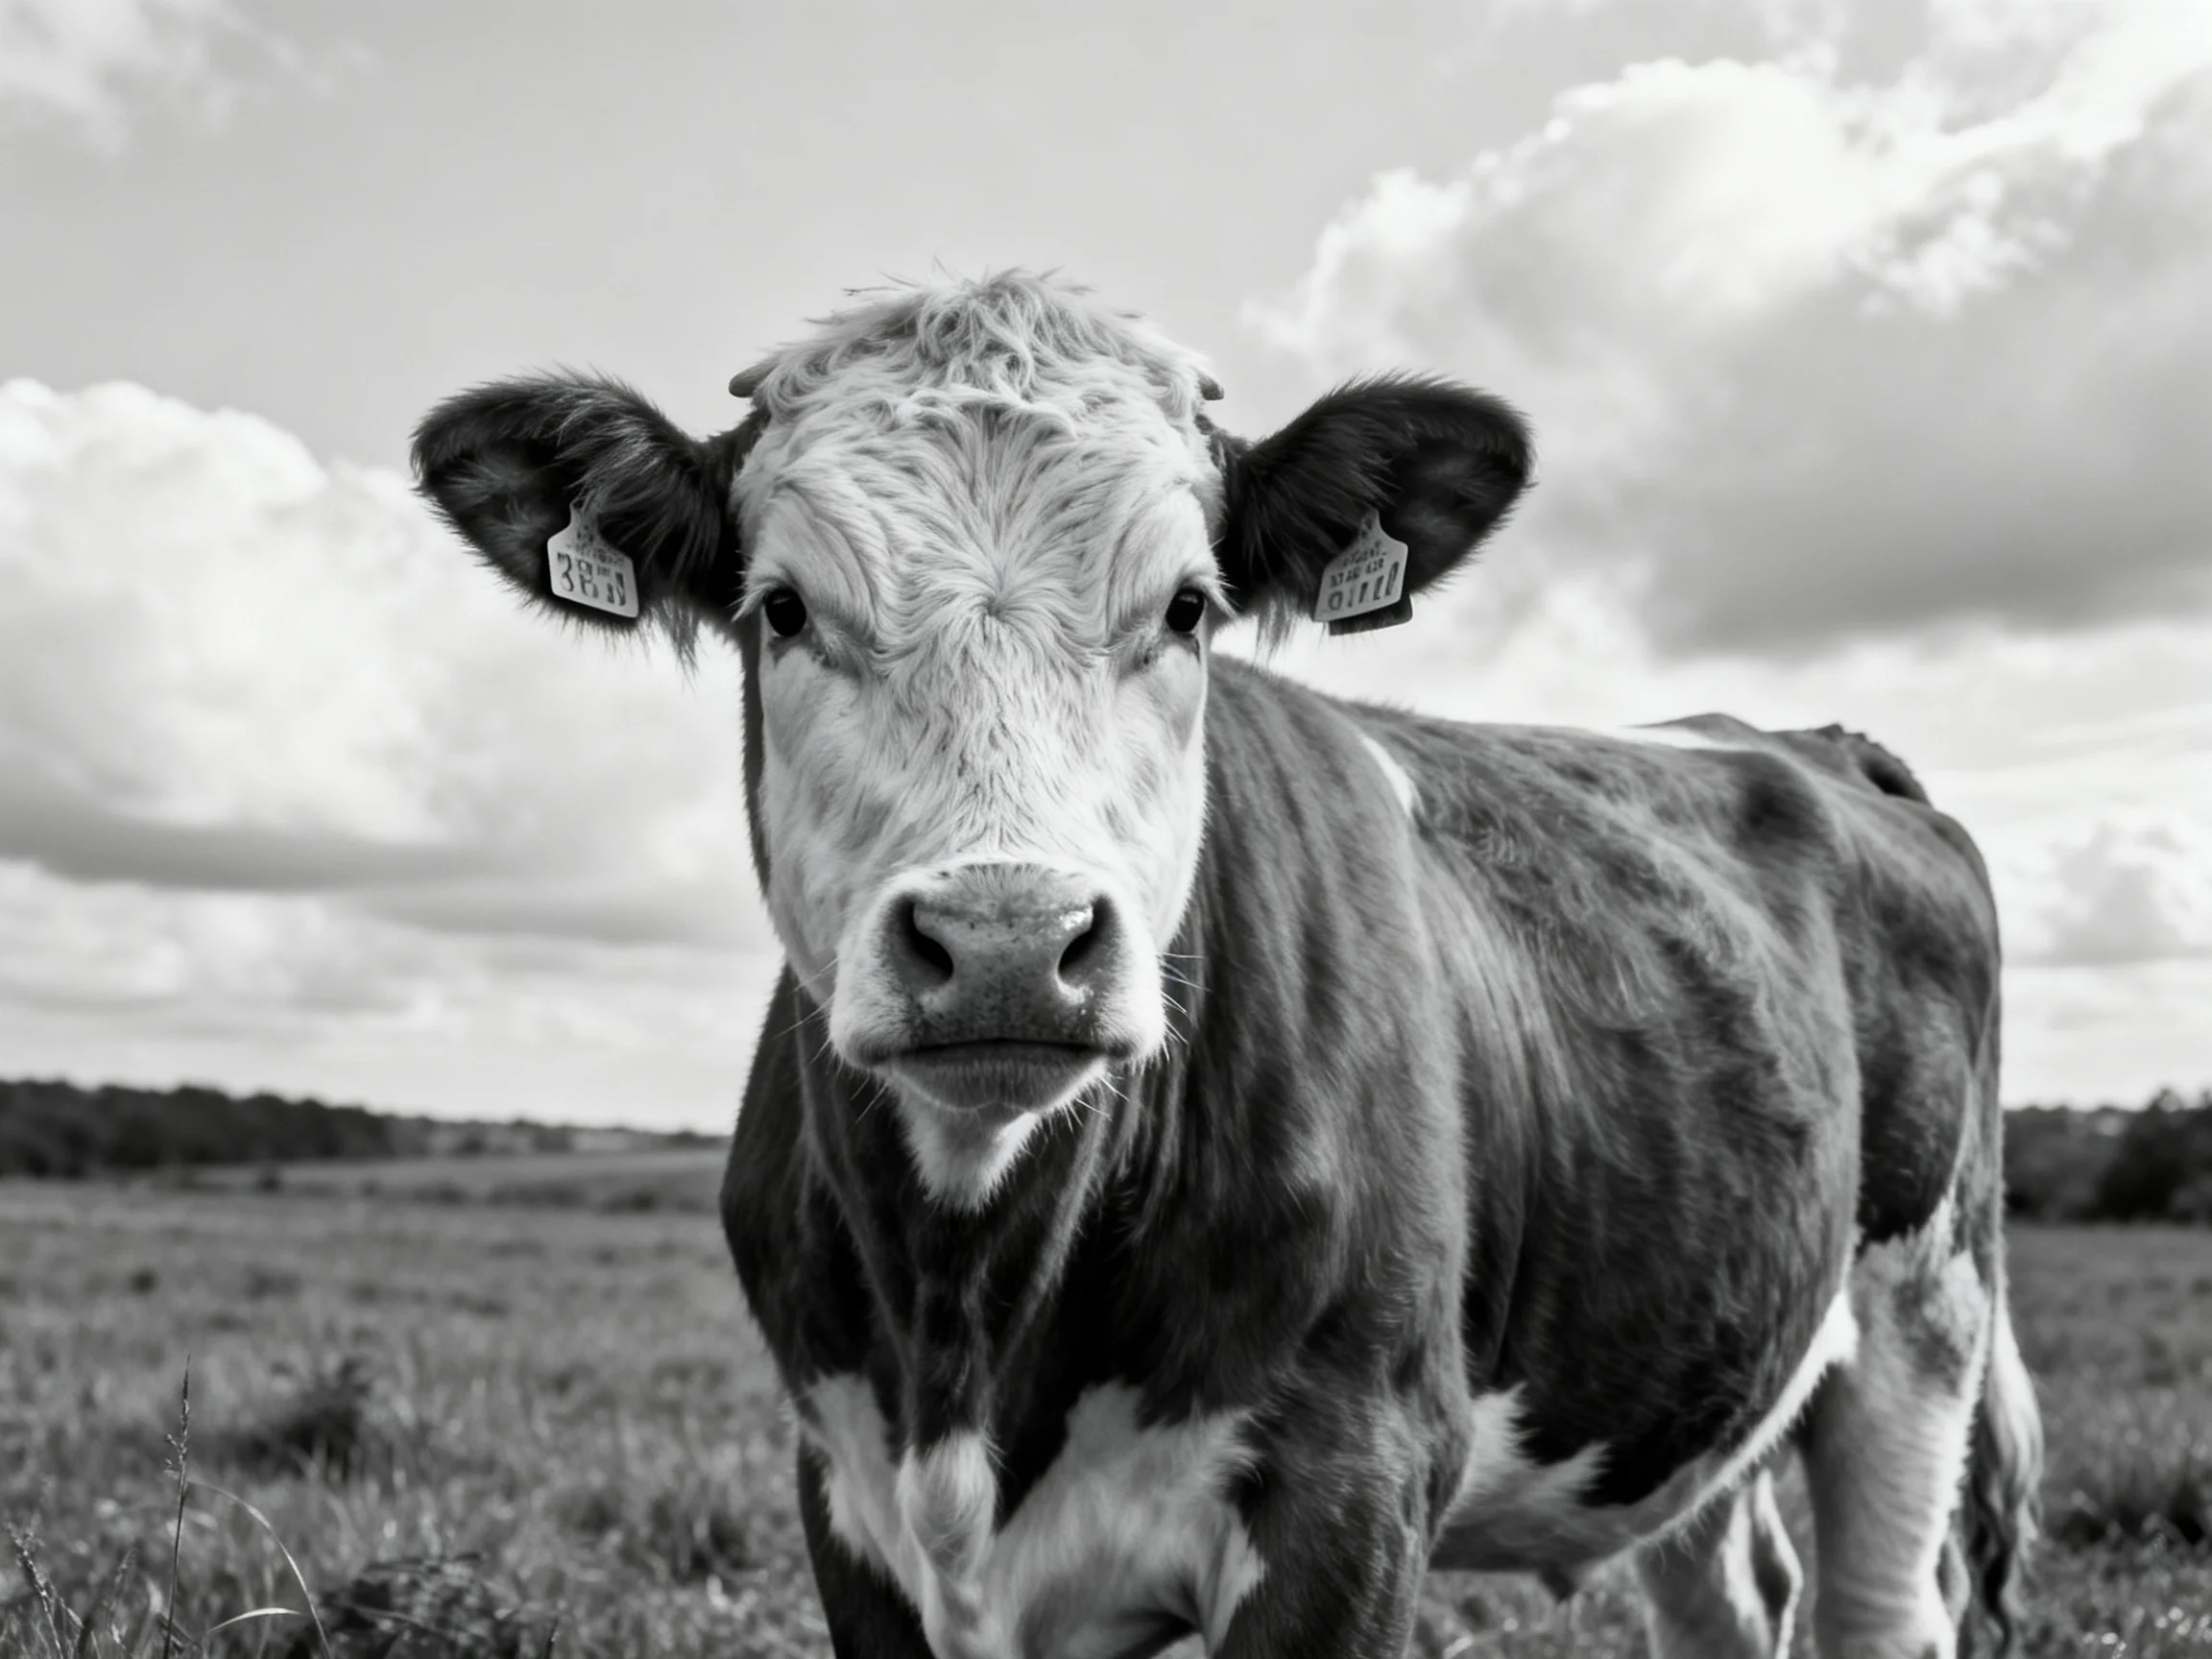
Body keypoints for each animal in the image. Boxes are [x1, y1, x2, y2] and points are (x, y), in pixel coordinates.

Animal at [413, 271, 2041, 1659]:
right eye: (784, 608)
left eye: (1188, 608)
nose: (1007, 941)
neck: (970, 1325)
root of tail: (1802, 737)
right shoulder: (851, 1505)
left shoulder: (1355, 1487)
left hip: (1925, 1316)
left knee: (1888, 1603)